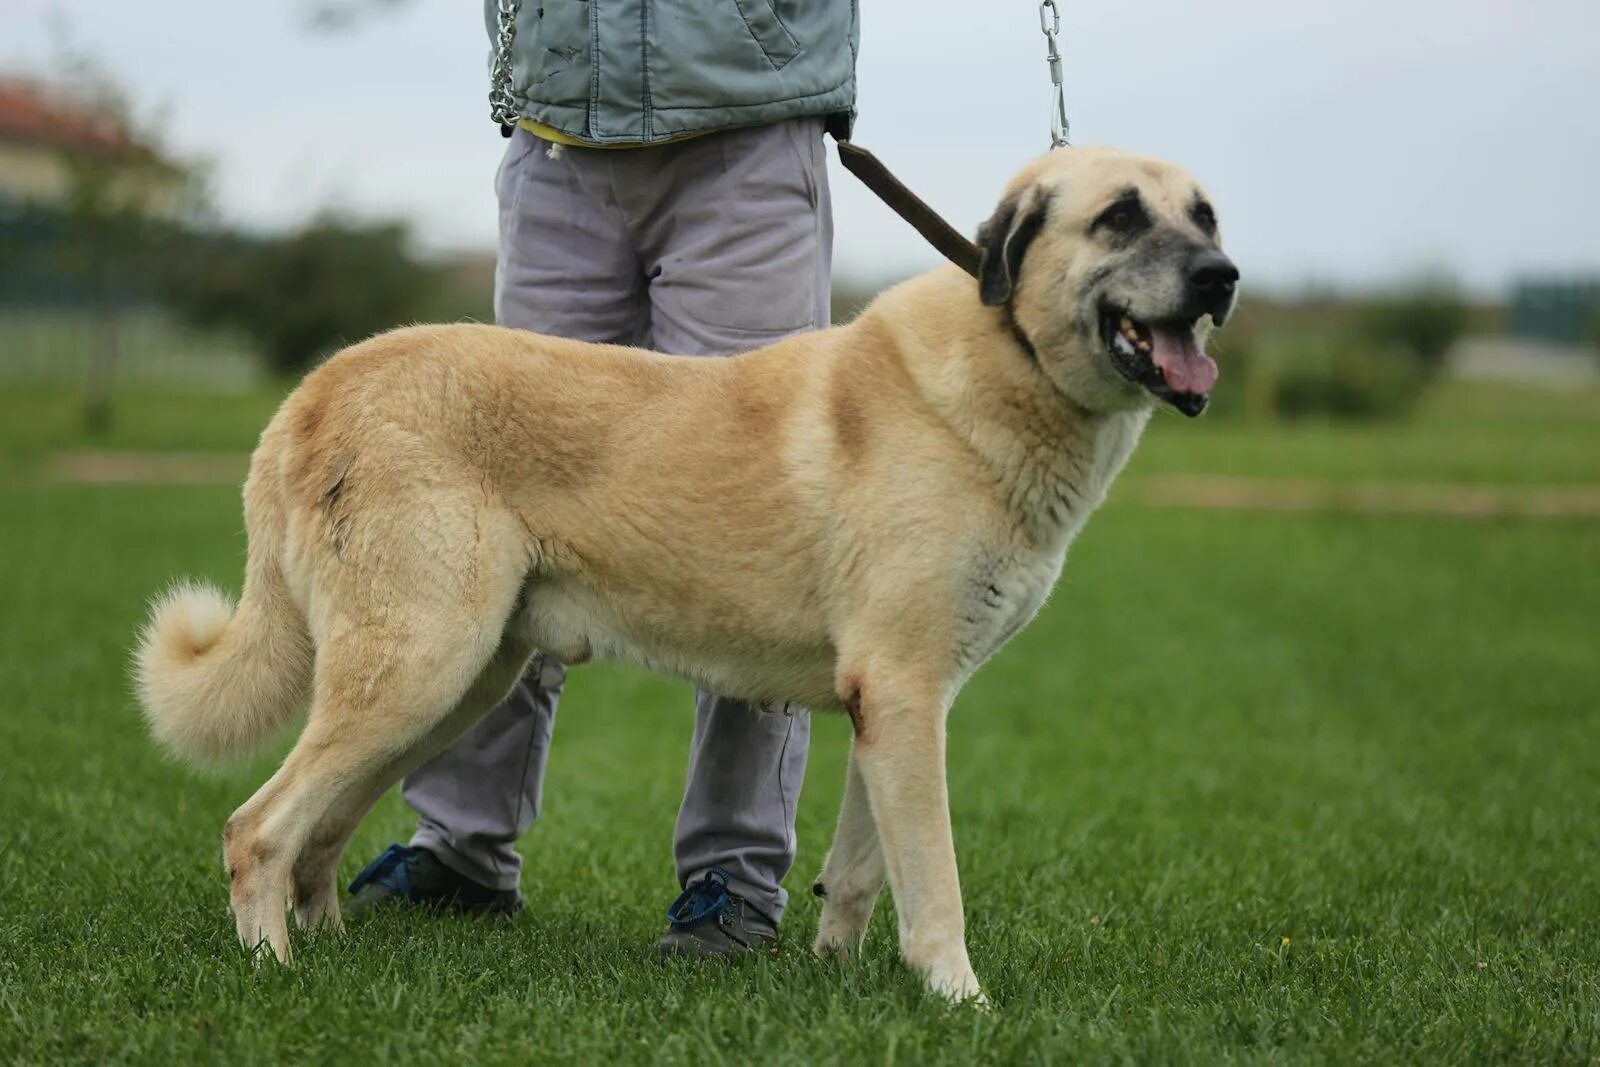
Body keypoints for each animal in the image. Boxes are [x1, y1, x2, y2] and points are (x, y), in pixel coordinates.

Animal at [134, 146, 1235, 1004]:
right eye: (1120, 217)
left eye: (1205, 214)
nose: (1223, 278)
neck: (1013, 362)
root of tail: (318, 387)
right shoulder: (906, 695)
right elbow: (936, 882)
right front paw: (961, 1001)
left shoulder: (890, 706)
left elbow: (862, 870)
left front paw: (840, 982)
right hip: (420, 666)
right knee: (258, 826)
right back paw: (275, 970)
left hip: (454, 680)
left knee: (319, 828)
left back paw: (328, 950)